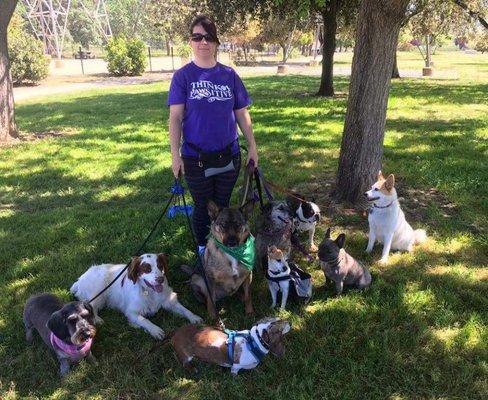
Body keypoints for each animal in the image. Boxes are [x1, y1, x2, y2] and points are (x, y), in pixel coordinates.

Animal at [70, 252, 202, 340]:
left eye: (160, 266)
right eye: (147, 269)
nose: (160, 279)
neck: (149, 291)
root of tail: (79, 280)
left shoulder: (169, 300)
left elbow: (184, 310)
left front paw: (194, 318)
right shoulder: (131, 312)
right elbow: (144, 320)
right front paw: (155, 330)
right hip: (100, 287)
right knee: (91, 305)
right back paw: (98, 319)